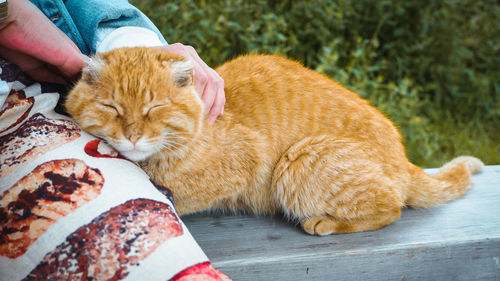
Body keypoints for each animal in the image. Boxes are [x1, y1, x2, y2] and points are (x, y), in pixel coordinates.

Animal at [64, 47, 482, 234]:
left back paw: (325, 223)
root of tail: (404, 158)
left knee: (391, 208)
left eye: (154, 108)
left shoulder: (243, 165)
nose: (132, 135)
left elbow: (178, 191)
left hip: (299, 162)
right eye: (112, 107)